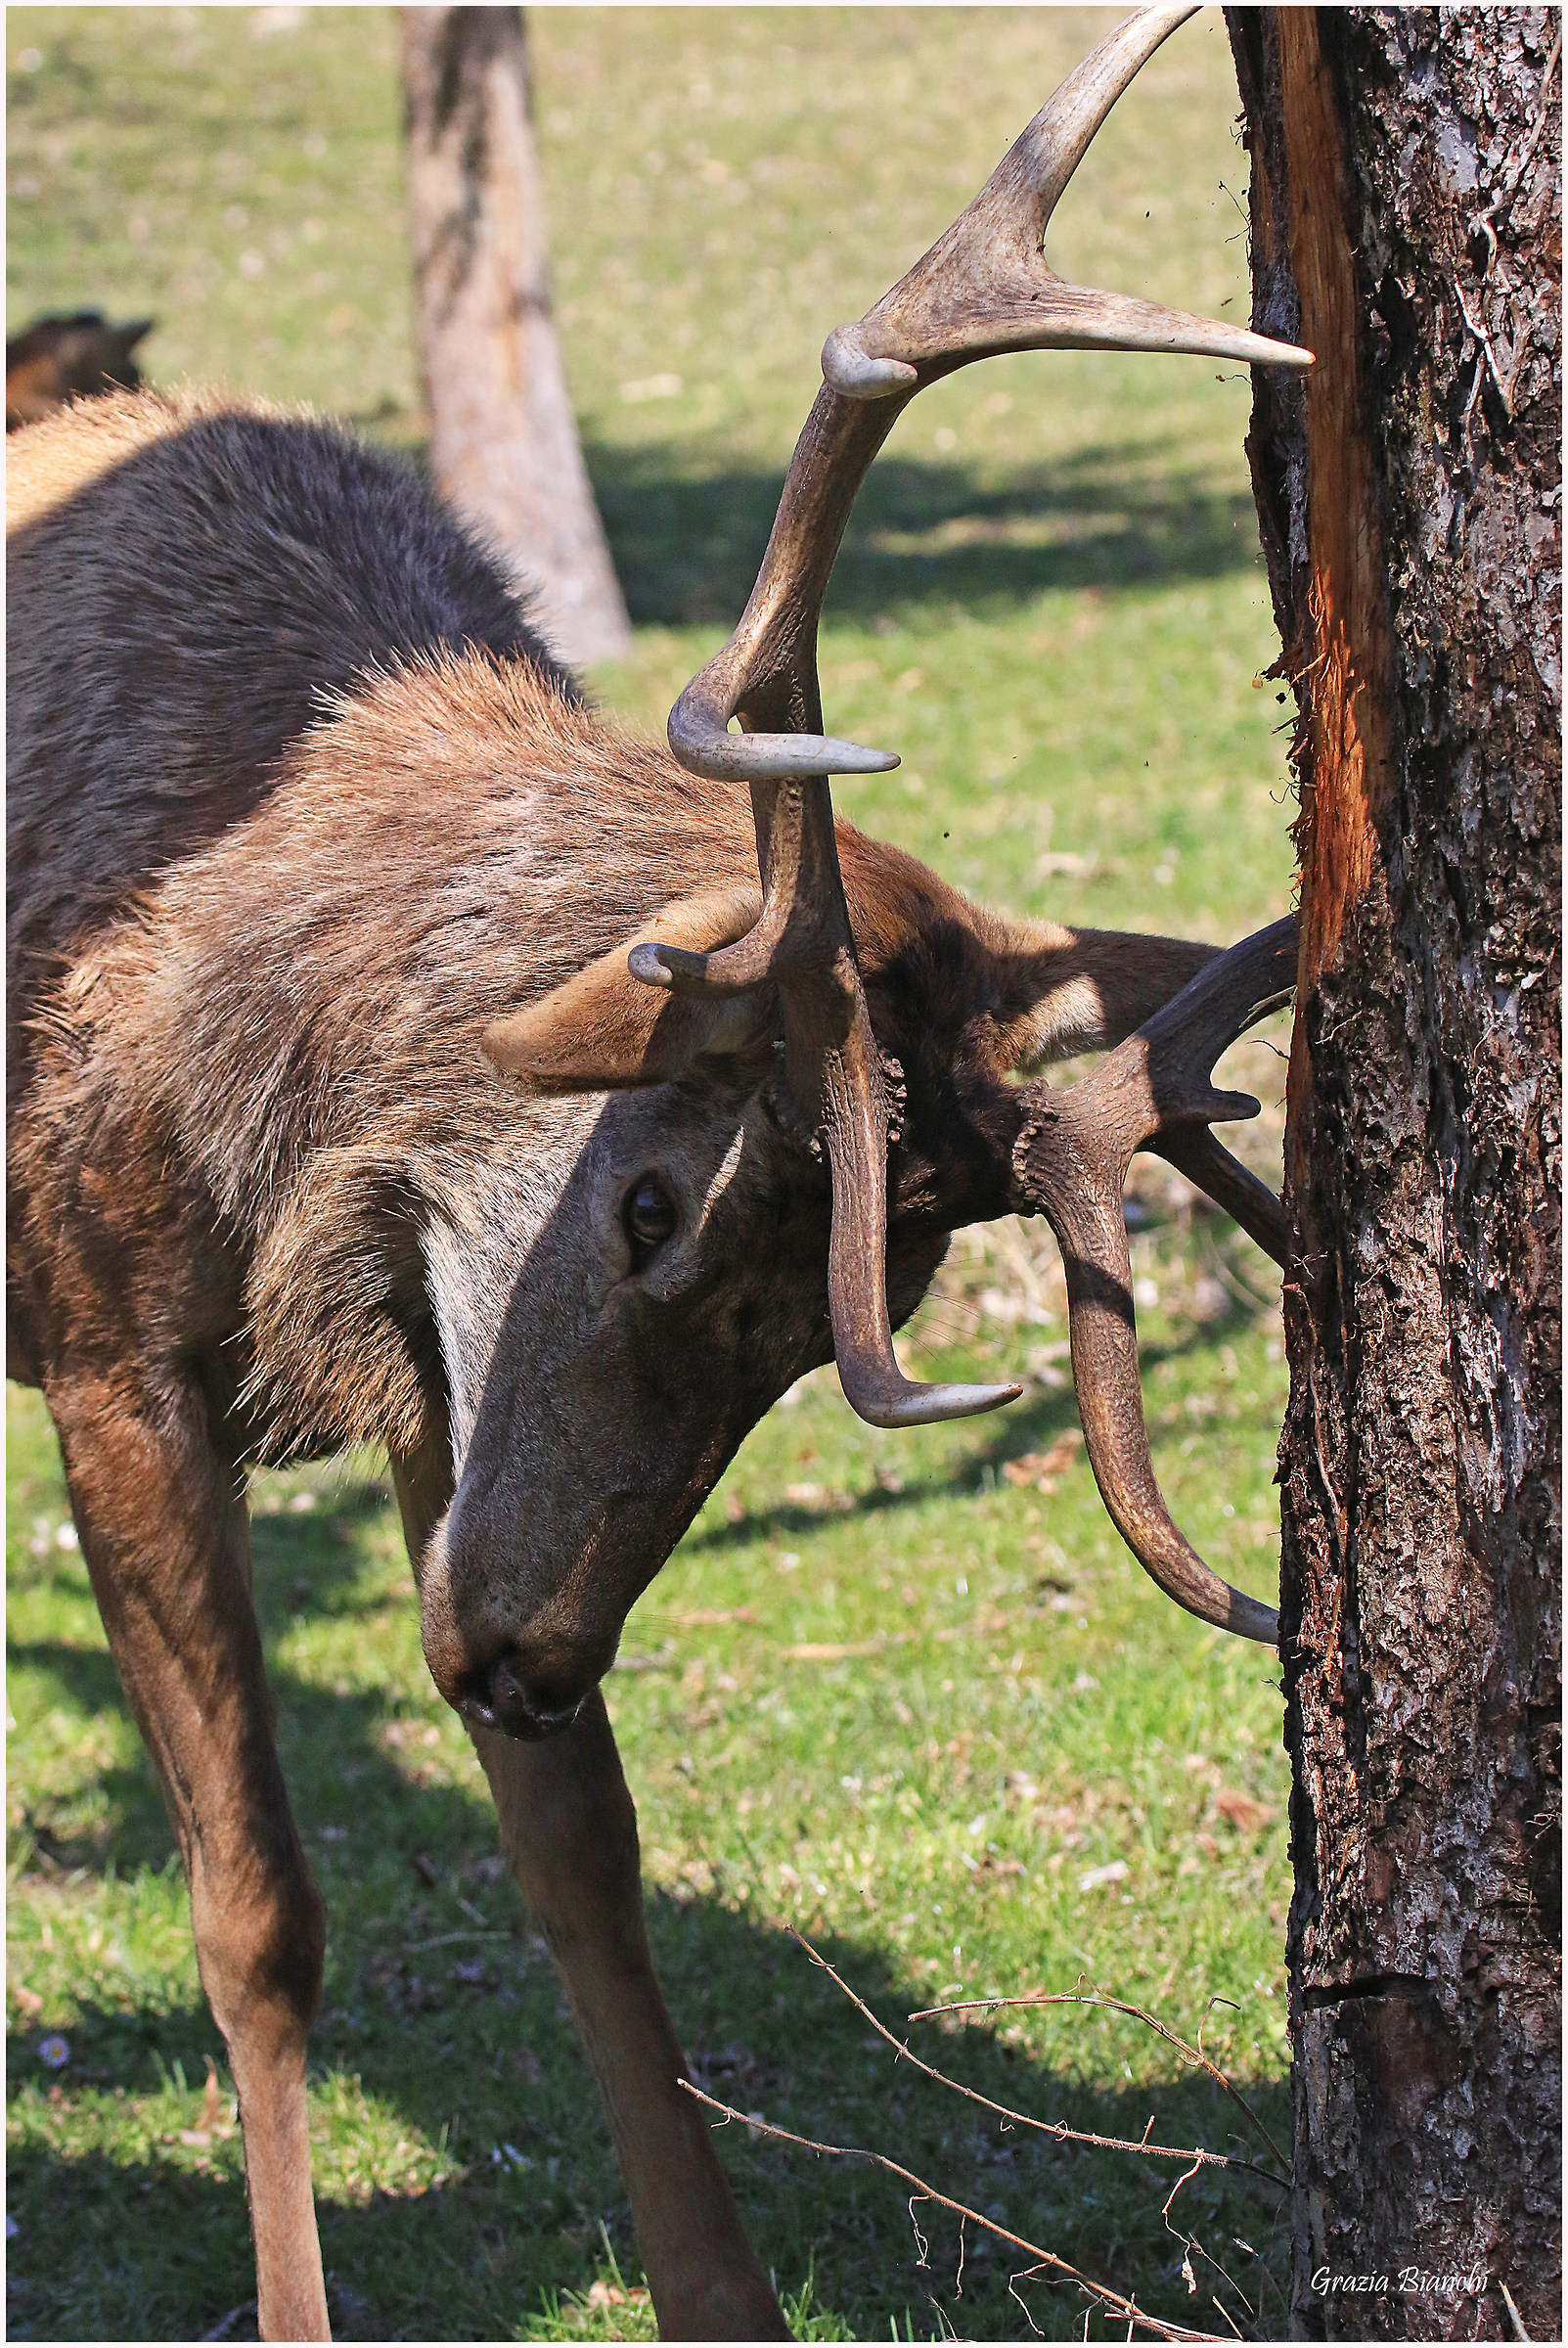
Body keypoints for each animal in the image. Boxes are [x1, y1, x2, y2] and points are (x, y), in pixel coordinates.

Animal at [6, 8, 1310, 2338]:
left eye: (819, 1336)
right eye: (644, 1210)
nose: (525, 1656)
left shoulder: (430, 1390)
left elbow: (587, 1869)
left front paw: (719, 2286)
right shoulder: (104, 1342)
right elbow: (258, 1917)